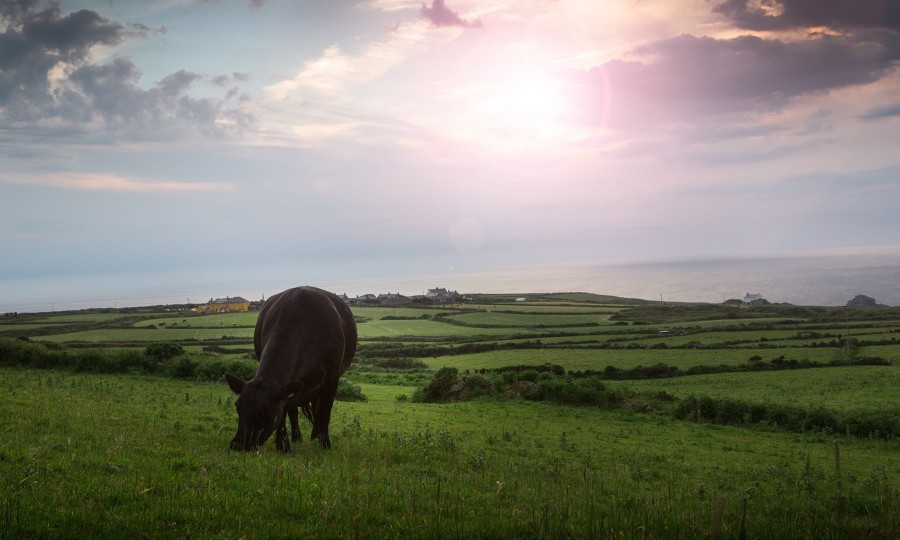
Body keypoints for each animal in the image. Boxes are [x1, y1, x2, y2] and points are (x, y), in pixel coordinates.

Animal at [223, 286, 356, 452]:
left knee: (316, 408)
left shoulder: (332, 377)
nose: (238, 444)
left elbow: (324, 411)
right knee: (294, 409)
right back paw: (297, 437)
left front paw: (324, 443)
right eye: (237, 406)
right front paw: (283, 445)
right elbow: (284, 411)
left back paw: (315, 435)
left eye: (265, 411)